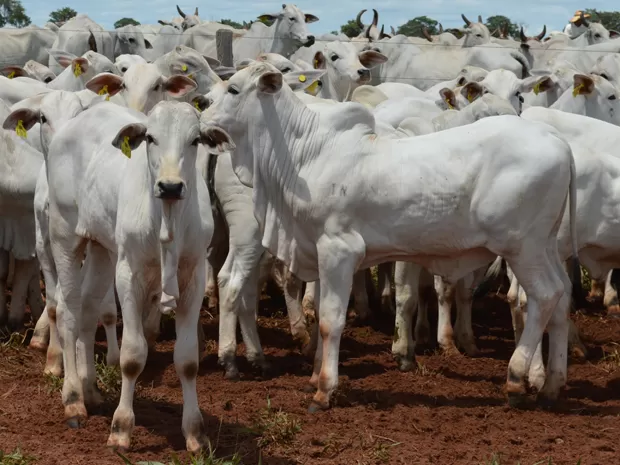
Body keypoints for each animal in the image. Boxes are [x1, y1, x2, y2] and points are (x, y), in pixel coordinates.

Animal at [206, 60, 580, 410]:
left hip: (523, 247)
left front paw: (325, 388)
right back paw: (552, 385)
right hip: (545, 245)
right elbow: (325, 314)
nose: (204, 116)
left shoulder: (339, 250)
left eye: (234, 89)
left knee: (546, 295)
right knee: (563, 296)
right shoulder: (319, 250)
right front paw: (315, 374)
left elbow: (331, 321)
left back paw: (516, 379)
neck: (305, 155)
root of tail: (559, 142)